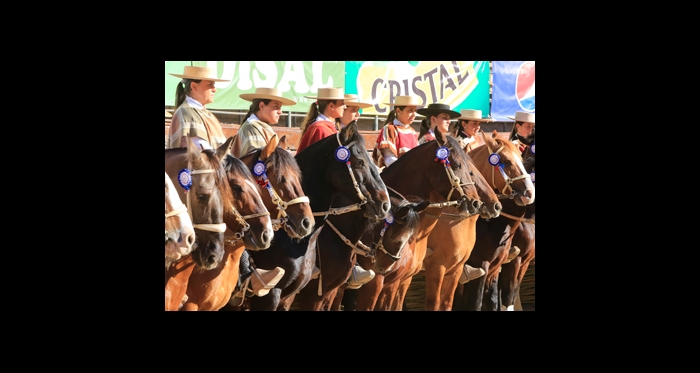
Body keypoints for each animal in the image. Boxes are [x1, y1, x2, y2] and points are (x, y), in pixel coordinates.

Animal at [452, 129, 540, 310]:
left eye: (523, 161)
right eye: (505, 161)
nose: (529, 193)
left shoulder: (506, 265)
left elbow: (499, 300)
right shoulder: (483, 265)